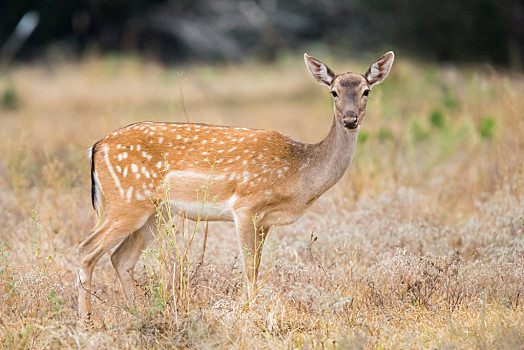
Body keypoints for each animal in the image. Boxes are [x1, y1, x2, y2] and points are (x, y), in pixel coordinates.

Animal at [79, 50, 392, 322]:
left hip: (156, 213)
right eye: (333, 92)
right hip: (127, 200)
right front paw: (249, 313)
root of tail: (96, 147)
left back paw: (137, 314)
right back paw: (88, 321)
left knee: (120, 258)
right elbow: (249, 269)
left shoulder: (266, 220)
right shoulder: (246, 206)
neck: (298, 173)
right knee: (87, 248)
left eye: (366, 91)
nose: (350, 119)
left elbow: (257, 267)